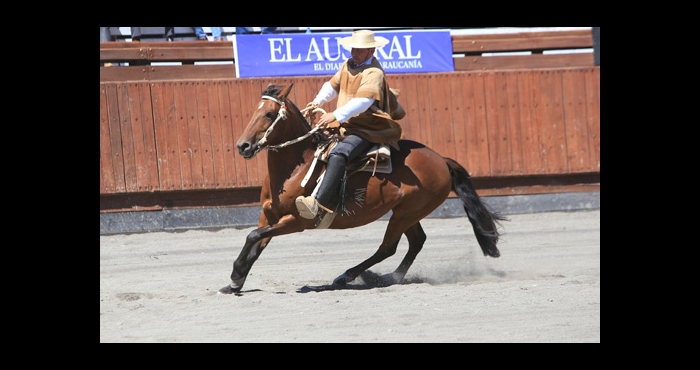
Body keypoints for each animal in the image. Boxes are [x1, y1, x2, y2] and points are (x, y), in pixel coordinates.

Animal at [217, 84, 504, 294]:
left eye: (268, 114)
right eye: (253, 111)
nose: (243, 146)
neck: (297, 166)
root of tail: (441, 160)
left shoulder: (297, 221)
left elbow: (252, 236)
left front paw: (235, 274)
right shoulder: (269, 215)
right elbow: (257, 242)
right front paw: (235, 282)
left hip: (406, 213)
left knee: (388, 247)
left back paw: (350, 276)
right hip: (407, 212)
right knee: (416, 242)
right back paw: (389, 277)